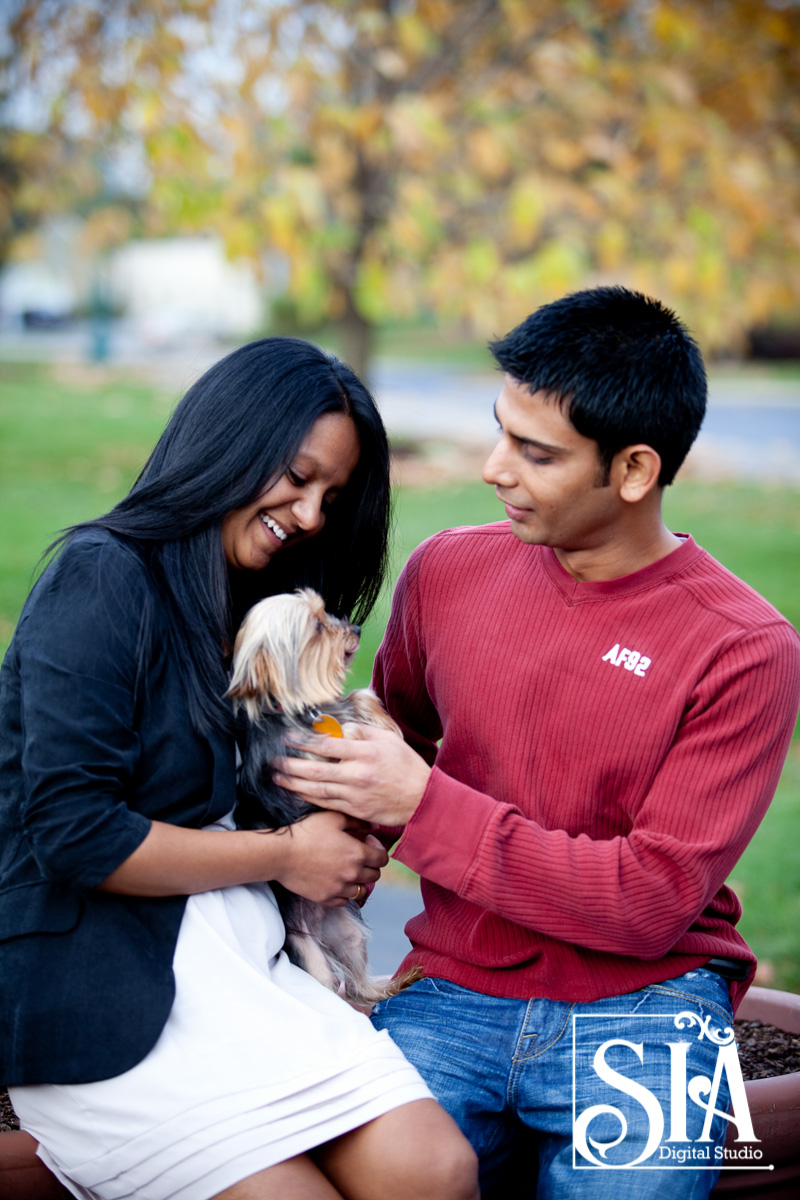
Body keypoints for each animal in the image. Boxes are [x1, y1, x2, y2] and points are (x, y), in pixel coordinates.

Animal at [227, 588, 422, 1003]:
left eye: (328, 613)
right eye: (317, 626)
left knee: (360, 985)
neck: (301, 710)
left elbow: (361, 697)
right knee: (336, 987)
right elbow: (335, 741)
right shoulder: (299, 767)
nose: (356, 628)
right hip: (311, 958)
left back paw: (395, 983)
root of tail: (318, 926)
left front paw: (381, 723)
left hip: (348, 935)